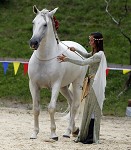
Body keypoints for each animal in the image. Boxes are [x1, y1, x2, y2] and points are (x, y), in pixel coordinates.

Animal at [28, 4, 88, 141]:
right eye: (33, 22)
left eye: (45, 24)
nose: (33, 43)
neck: (44, 58)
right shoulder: (33, 85)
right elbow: (36, 109)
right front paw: (34, 134)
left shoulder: (55, 85)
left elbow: (51, 108)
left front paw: (53, 134)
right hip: (63, 87)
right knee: (71, 102)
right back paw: (74, 130)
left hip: (76, 84)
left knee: (75, 105)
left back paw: (67, 132)